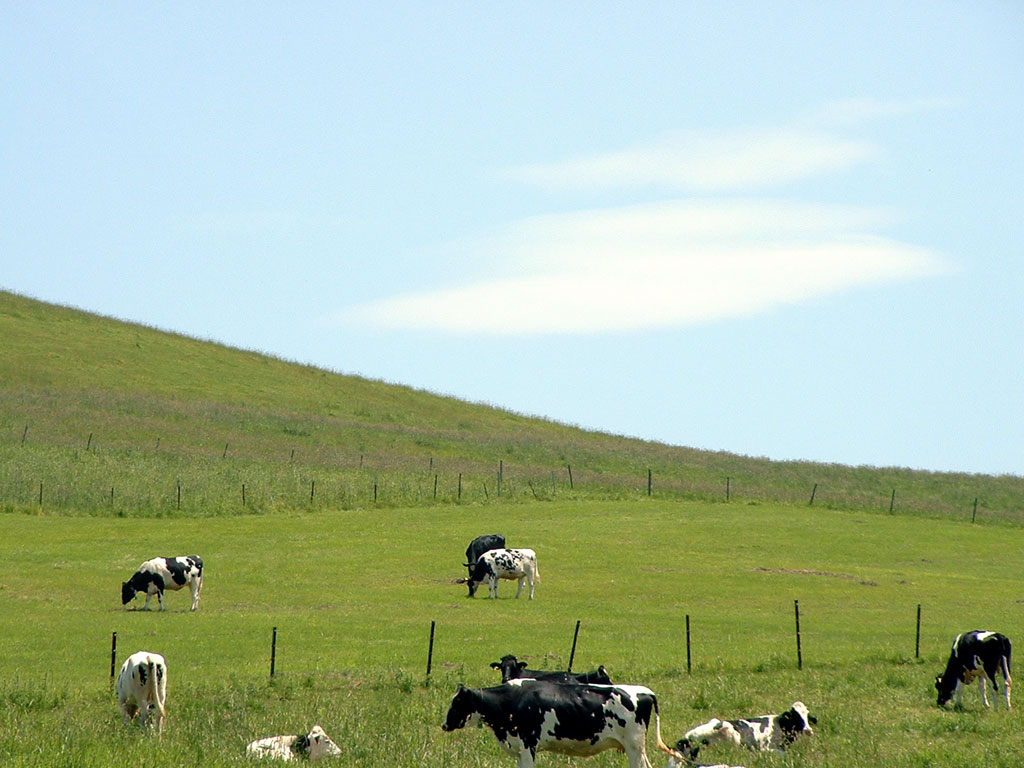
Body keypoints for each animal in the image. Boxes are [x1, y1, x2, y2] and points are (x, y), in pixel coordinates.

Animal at [440, 679, 679, 768]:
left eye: (457, 702)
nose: (444, 725)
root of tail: (644, 691)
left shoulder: (528, 745)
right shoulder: (519, 748)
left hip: (634, 746)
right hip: (636, 747)